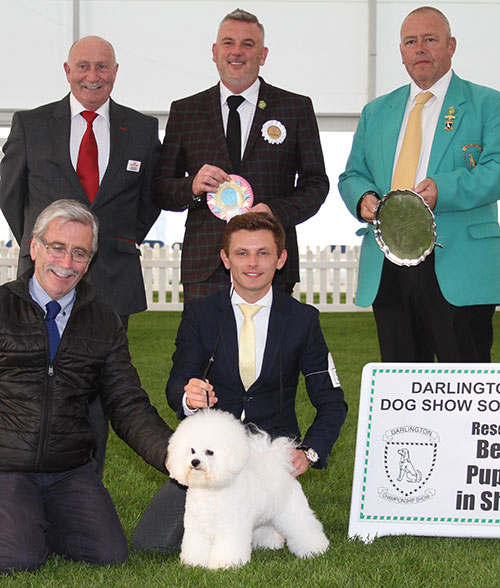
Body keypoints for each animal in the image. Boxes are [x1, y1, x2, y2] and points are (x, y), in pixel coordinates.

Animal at [166, 408, 330, 568]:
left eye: (210, 452)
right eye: (192, 450)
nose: (194, 462)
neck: (211, 491)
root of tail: (280, 465)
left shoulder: (231, 527)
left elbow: (228, 548)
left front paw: (226, 565)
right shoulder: (196, 528)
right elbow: (197, 547)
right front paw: (195, 563)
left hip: (292, 511)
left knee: (305, 528)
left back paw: (316, 549)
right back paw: (270, 545)